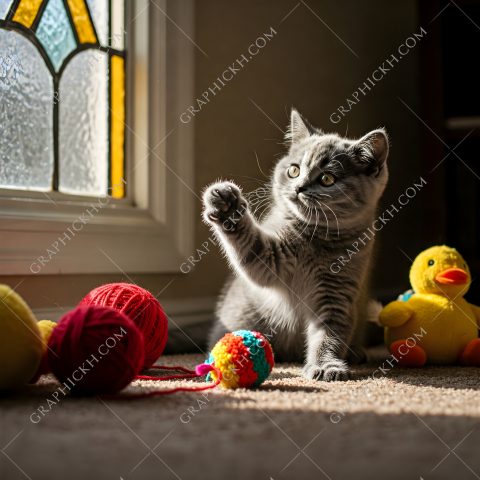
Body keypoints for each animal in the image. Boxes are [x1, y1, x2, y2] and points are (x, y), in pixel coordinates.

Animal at [201, 109, 388, 382]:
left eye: (327, 178)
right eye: (293, 170)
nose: (299, 188)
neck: (317, 239)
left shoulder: (338, 293)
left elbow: (330, 334)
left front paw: (326, 365)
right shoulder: (270, 259)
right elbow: (251, 247)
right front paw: (228, 208)